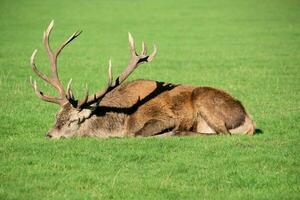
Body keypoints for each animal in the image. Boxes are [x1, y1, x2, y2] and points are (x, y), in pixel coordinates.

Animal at [29, 20, 255, 139]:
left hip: (204, 98)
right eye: (56, 116)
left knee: (223, 133)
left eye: (74, 121)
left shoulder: (164, 118)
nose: (49, 135)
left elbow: (135, 134)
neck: (121, 119)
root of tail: (249, 119)